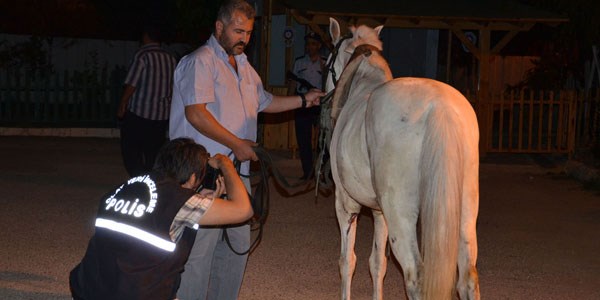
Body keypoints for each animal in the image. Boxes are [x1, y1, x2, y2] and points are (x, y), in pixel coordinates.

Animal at [326, 17, 480, 298]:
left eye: (328, 59)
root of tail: (439, 107)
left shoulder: (345, 203)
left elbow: (347, 261)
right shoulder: (380, 212)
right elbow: (377, 263)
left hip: (401, 213)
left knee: (415, 276)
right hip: (465, 210)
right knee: (468, 278)